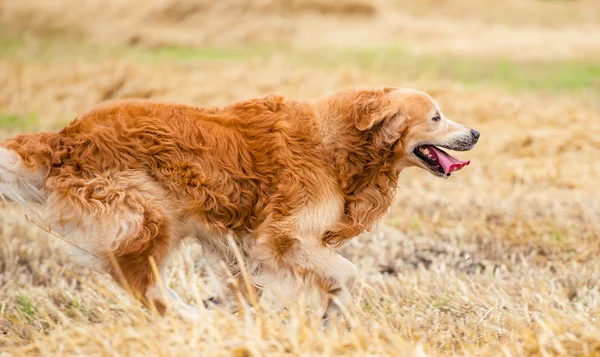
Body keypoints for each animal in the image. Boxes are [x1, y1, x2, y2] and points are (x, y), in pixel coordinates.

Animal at [0, 87, 478, 322]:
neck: (340, 142)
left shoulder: (236, 239)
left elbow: (245, 287)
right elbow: (347, 273)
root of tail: (63, 137)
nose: (474, 133)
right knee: (145, 286)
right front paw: (333, 317)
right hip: (148, 212)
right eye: (436, 117)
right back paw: (193, 319)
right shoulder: (284, 236)